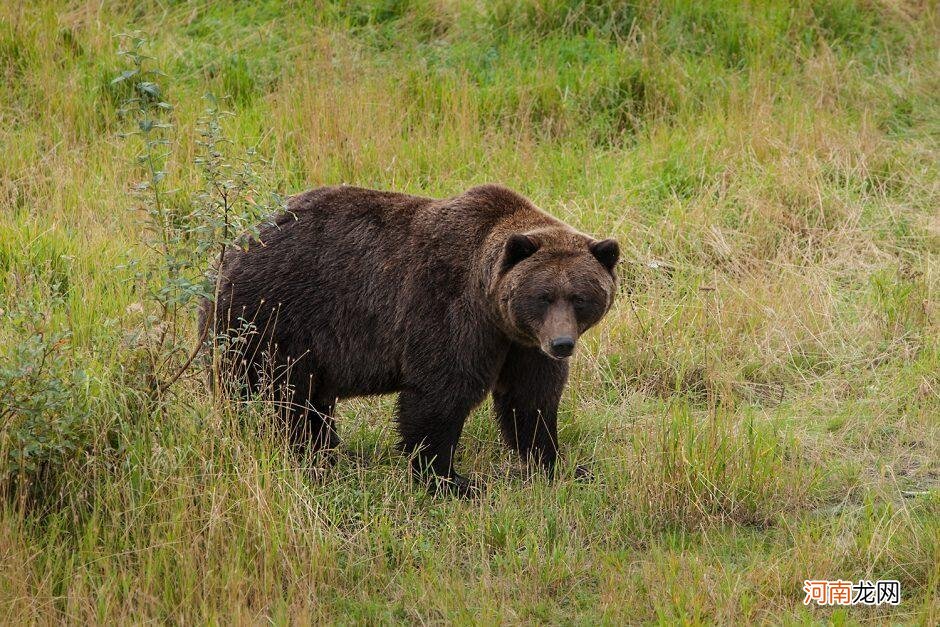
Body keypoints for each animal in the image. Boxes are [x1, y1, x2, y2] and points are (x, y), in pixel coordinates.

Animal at [204, 184, 616, 498]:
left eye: (579, 297)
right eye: (542, 296)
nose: (562, 344)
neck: (491, 309)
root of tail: (228, 253)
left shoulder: (523, 345)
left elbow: (531, 401)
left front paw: (559, 465)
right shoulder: (449, 313)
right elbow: (440, 396)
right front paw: (452, 481)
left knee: (310, 402)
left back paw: (330, 453)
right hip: (271, 320)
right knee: (277, 396)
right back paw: (307, 456)